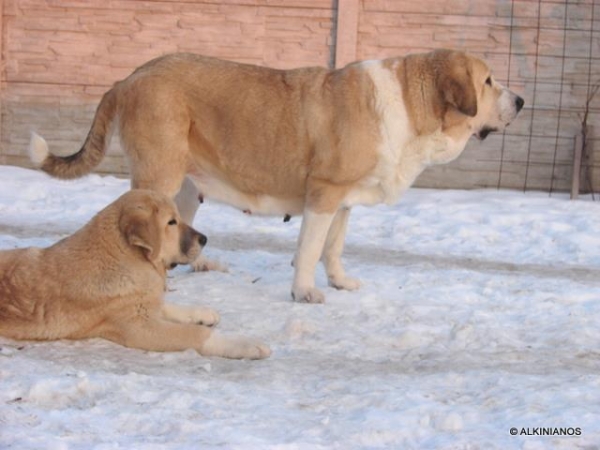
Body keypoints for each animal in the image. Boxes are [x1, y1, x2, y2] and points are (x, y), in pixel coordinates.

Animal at [0, 189, 270, 358]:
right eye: (171, 223)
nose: (204, 239)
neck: (126, 257)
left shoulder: (143, 302)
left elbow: (169, 307)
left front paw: (201, 313)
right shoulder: (139, 327)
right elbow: (196, 333)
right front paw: (246, 344)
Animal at [30, 48, 524, 302]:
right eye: (487, 81)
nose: (520, 101)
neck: (407, 101)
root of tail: (128, 77)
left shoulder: (343, 199)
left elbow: (333, 247)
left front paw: (339, 281)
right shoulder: (323, 194)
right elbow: (309, 249)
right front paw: (304, 292)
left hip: (186, 187)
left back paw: (198, 263)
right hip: (160, 173)